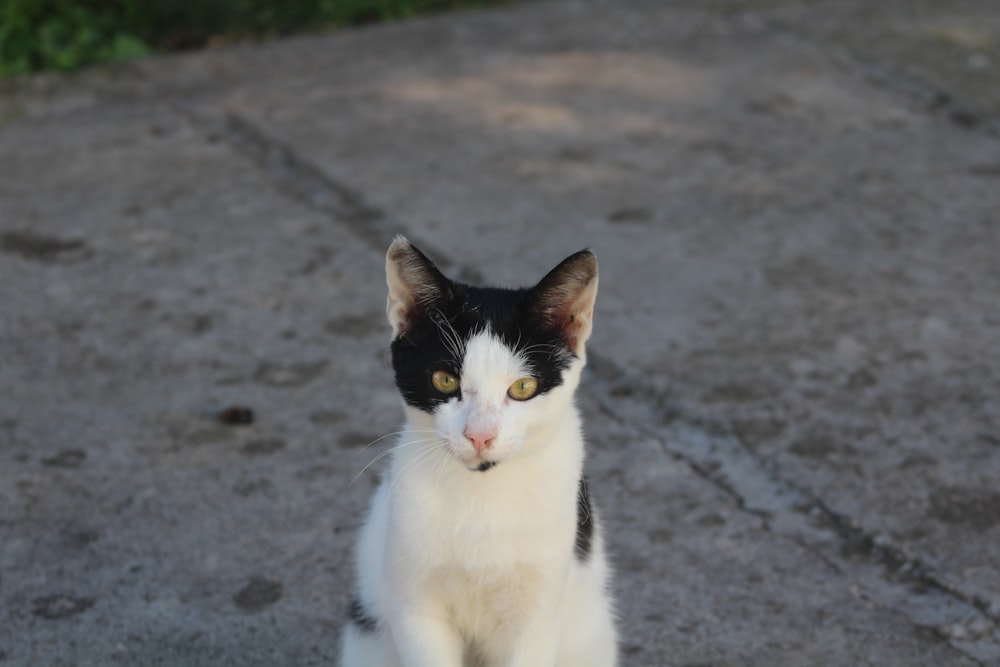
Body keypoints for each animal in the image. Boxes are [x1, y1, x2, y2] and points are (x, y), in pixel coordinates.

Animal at [340, 239, 612, 667]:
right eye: (444, 379)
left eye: (522, 387)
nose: (479, 436)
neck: (482, 493)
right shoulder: (414, 609)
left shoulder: (537, 613)